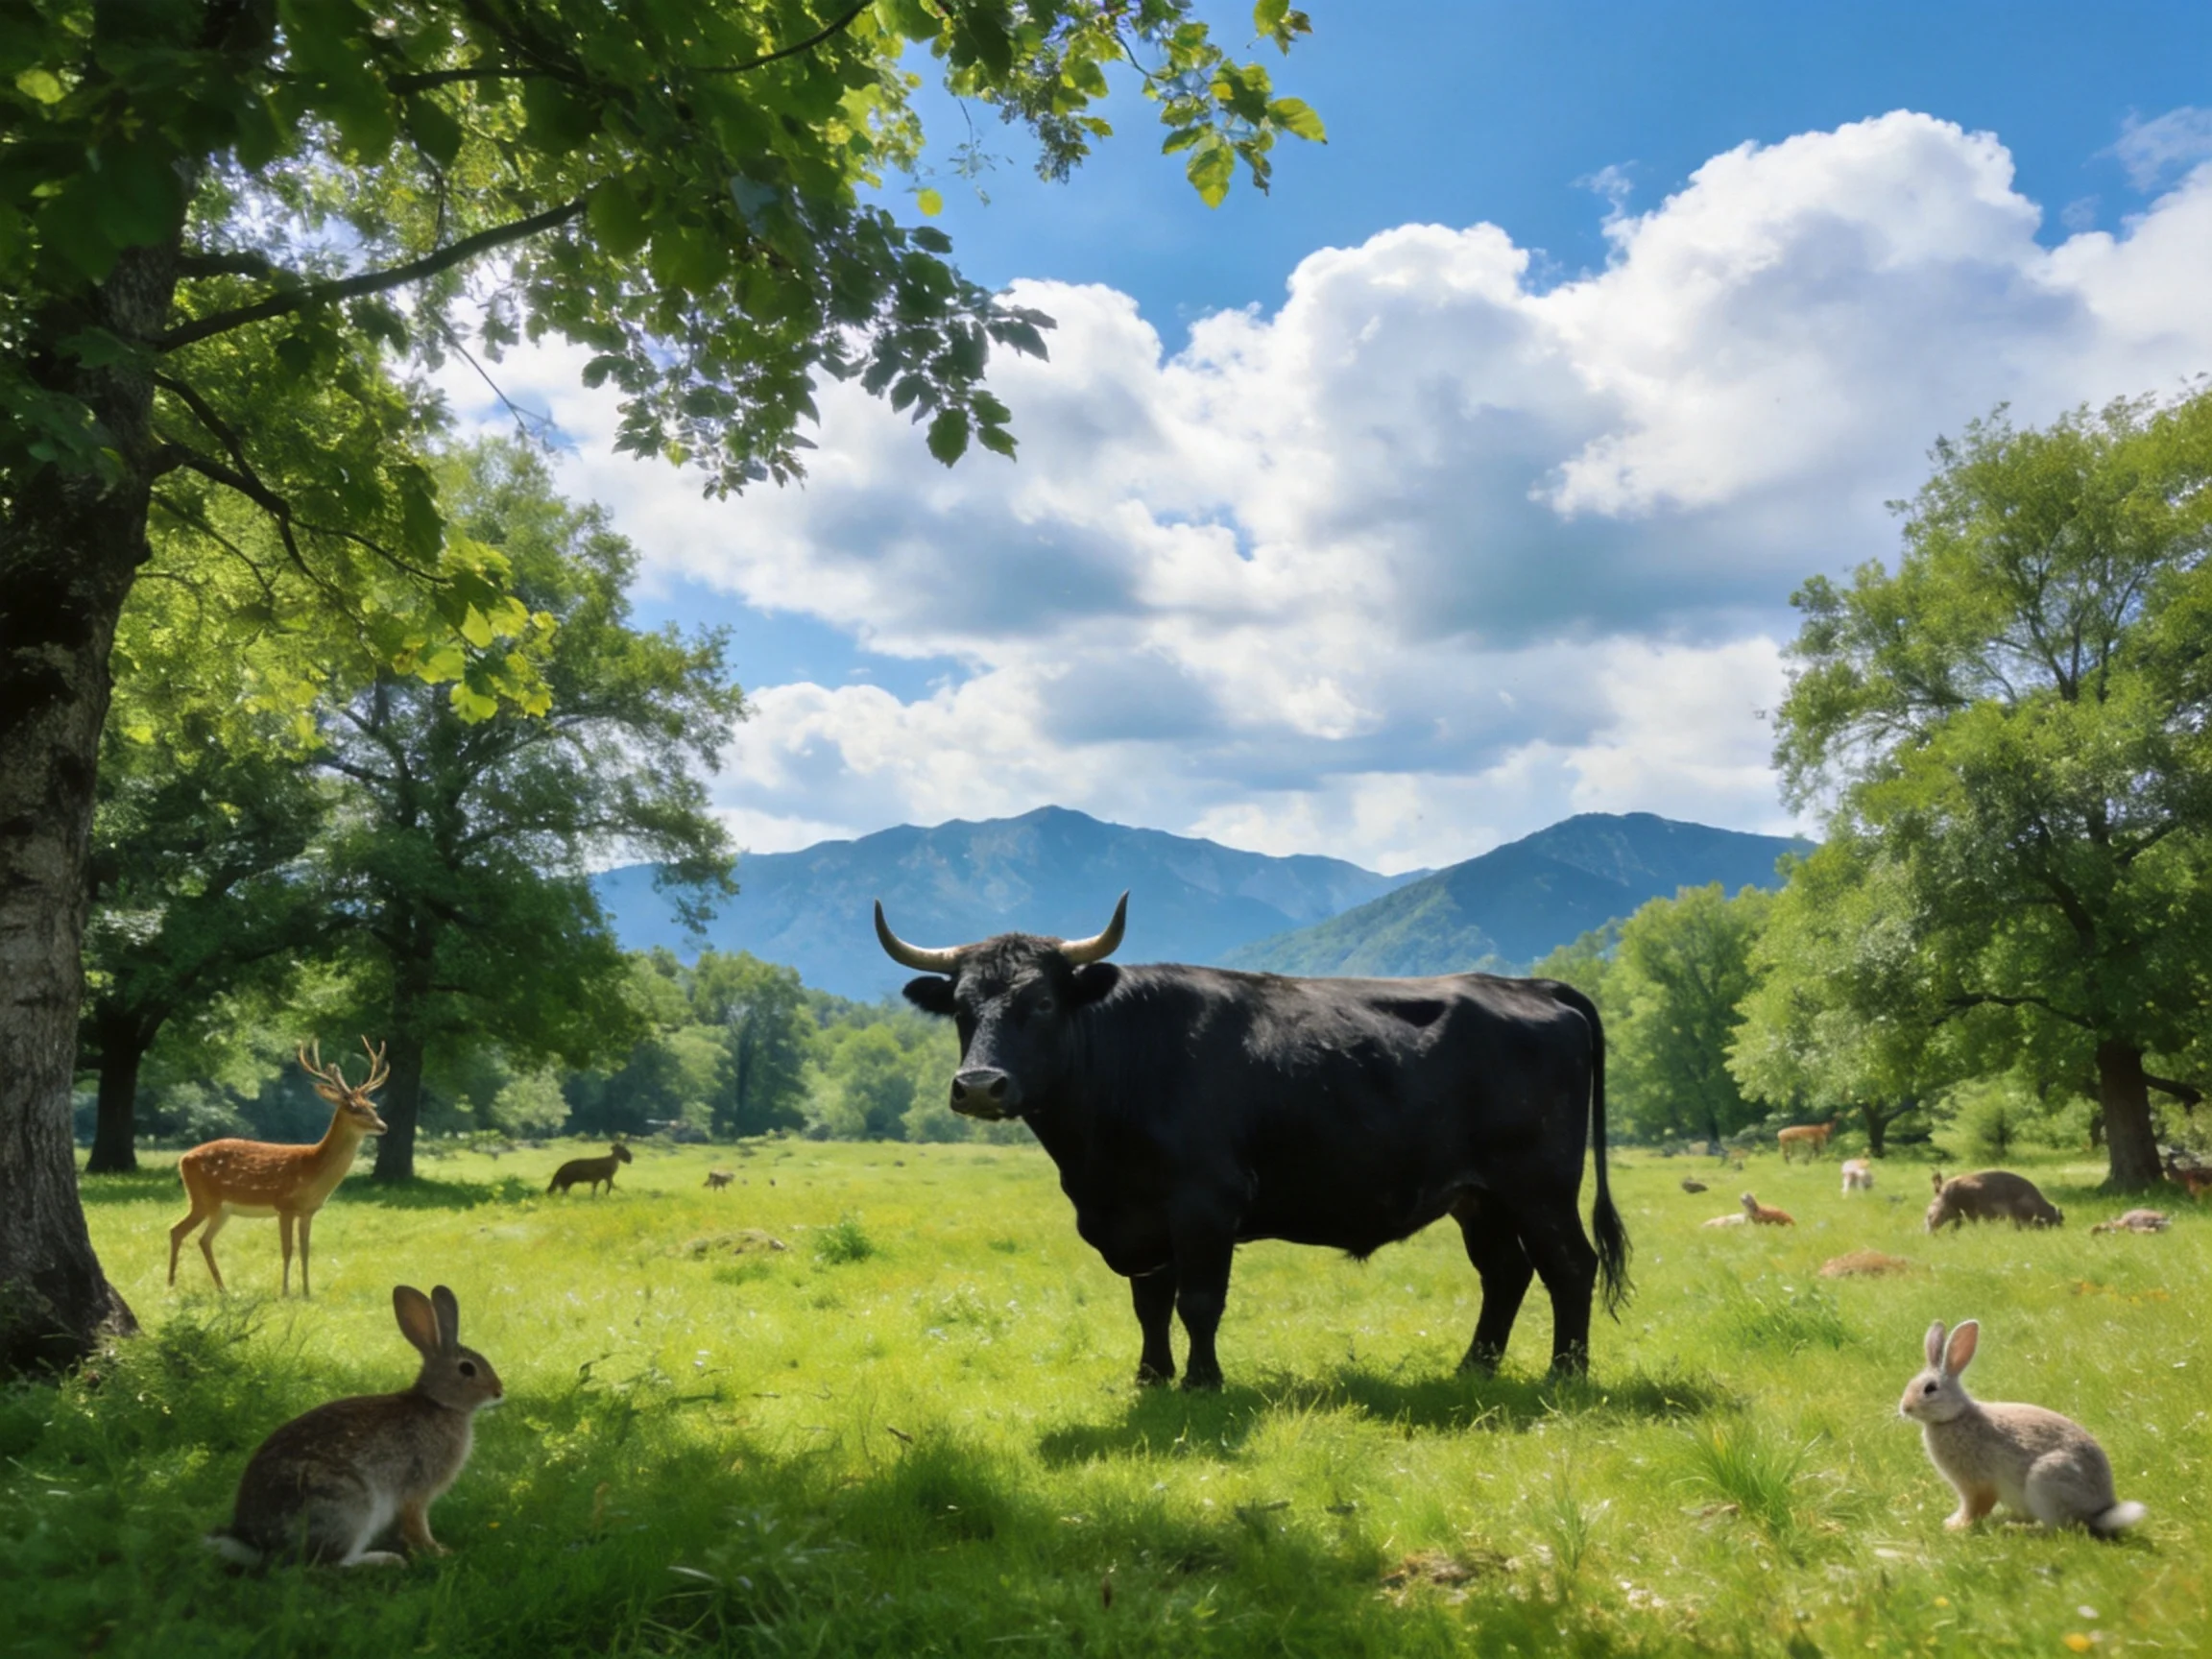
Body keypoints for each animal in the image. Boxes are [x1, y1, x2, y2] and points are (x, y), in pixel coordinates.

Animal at [169, 1039, 389, 1296]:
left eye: (371, 1106)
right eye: (353, 1107)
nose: (382, 1126)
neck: (313, 1170)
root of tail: (183, 1159)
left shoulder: (308, 1210)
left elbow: (305, 1250)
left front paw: (307, 1292)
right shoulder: (284, 1204)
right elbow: (287, 1249)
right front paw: (284, 1292)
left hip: (222, 1208)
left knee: (203, 1239)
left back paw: (223, 1289)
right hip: (202, 1198)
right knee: (177, 1231)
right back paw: (171, 1285)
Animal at [208, 1285, 504, 1566]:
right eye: (467, 1369)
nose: (499, 1391)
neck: (438, 1403)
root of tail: (257, 1543)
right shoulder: (416, 1490)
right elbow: (416, 1524)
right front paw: (439, 1552)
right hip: (349, 1505)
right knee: (327, 1564)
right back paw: (385, 1560)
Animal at [874, 893, 1630, 1387]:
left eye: (1041, 1002)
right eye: (962, 1009)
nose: (979, 1085)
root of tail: (1535, 987)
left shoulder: (1204, 1203)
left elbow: (1199, 1300)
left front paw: (1203, 1382)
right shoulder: (1141, 1217)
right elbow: (1150, 1303)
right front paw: (1151, 1376)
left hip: (1540, 1186)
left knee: (1569, 1267)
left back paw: (1565, 1375)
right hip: (1480, 1197)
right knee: (1505, 1272)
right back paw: (1473, 1368)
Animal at [1899, 1319, 2144, 1537]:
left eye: (1930, 1388)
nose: (1905, 1407)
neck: (1955, 1416)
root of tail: (2102, 1512)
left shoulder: (1977, 1484)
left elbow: (1975, 1507)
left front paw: (1956, 1528)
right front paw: (1952, 1522)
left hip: (2045, 1481)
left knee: (2059, 1528)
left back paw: (2019, 1529)